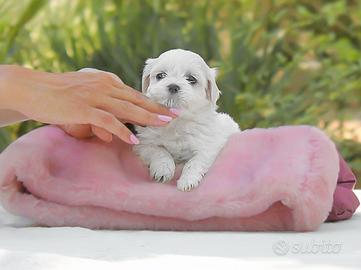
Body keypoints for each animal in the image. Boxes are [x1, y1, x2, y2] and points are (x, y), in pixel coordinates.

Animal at [132, 49, 239, 192]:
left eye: (191, 79)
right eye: (161, 75)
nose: (173, 86)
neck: (177, 121)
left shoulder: (209, 145)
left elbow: (195, 162)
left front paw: (187, 181)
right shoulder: (144, 143)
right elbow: (160, 151)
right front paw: (163, 170)